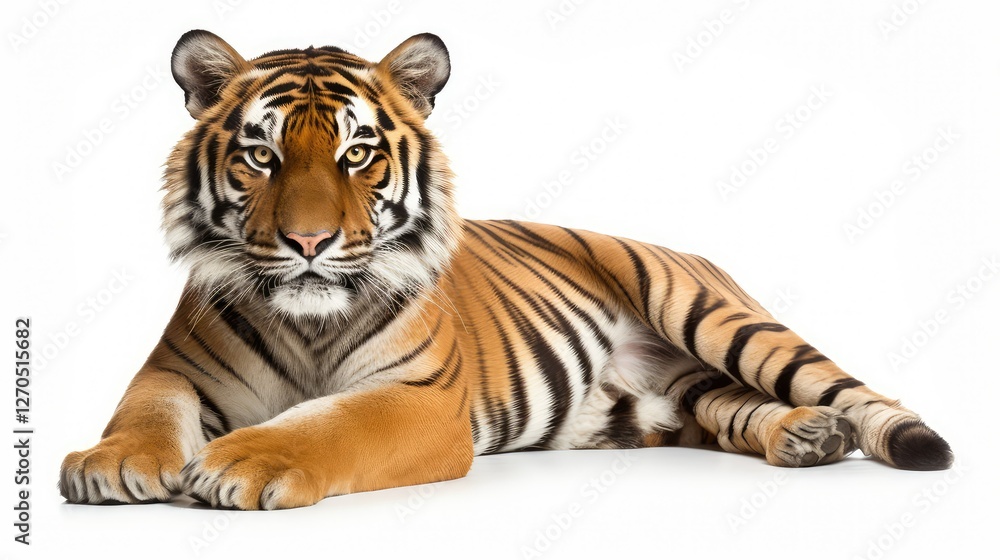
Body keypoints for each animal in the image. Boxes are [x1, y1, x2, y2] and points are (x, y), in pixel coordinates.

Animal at [59, 30, 953, 510]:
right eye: (261, 156)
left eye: (357, 154)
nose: (309, 242)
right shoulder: (173, 368)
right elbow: (143, 412)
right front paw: (110, 464)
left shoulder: (420, 399)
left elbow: (327, 423)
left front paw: (245, 462)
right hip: (676, 396)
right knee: (736, 410)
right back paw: (804, 436)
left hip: (710, 314)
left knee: (846, 388)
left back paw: (870, 433)